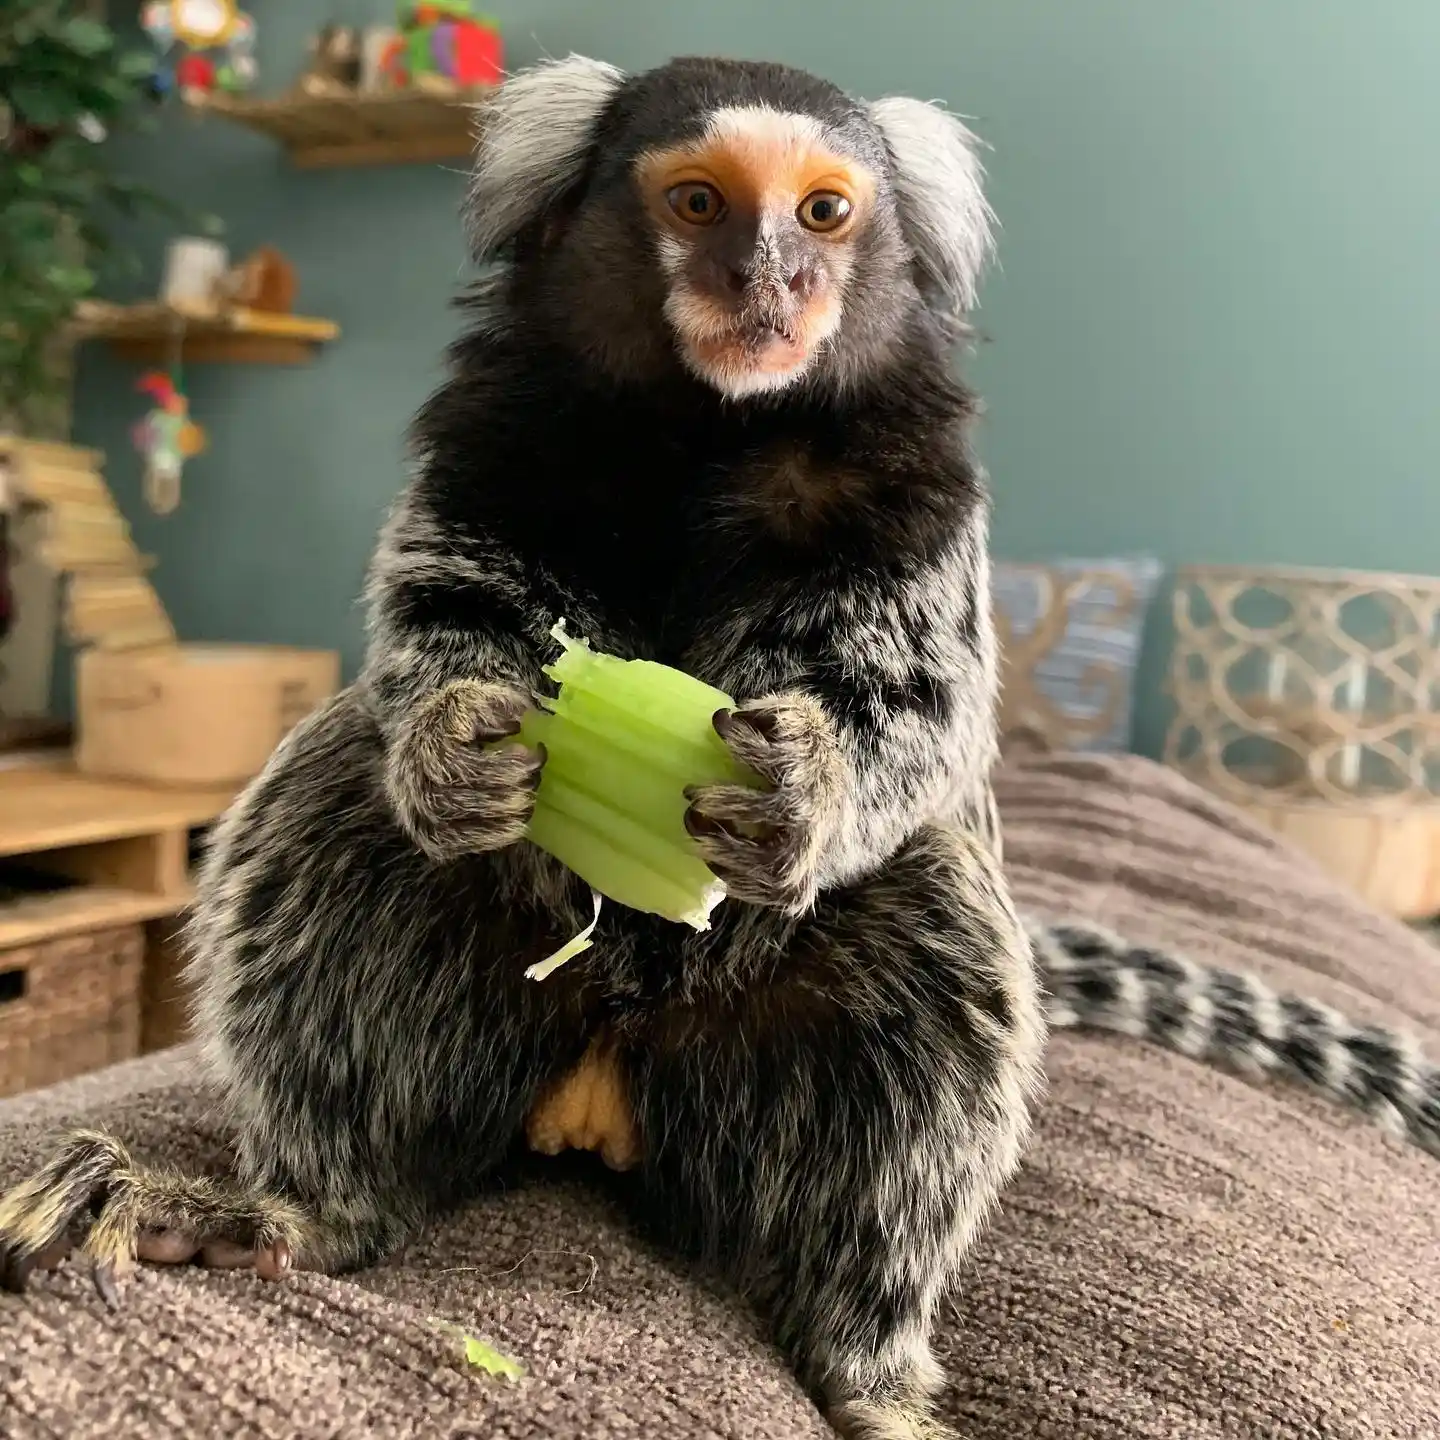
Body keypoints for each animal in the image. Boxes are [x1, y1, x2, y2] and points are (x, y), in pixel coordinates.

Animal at [2, 53, 1437, 1440]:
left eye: (825, 212)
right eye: (698, 204)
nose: (769, 280)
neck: (708, 432)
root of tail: (597, 1098)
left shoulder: (926, 500)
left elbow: (921, 705)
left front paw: (806, 792)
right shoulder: (487, 440)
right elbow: (439, 615)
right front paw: (451, 748)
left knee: (937, 934)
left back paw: (864, 1364)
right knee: (336, 797)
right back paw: (296, 1211)